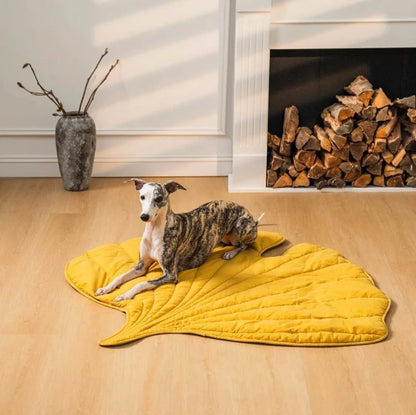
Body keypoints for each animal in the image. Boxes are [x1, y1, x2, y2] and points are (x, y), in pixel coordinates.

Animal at [94, 180, 264, 302]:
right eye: (142, 197)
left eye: (159, 198)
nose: (144, 217)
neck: (154, 230)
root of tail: (252, 218)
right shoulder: (141, 266)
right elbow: (120, 276)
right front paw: (105, 288)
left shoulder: (170, 275)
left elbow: (142, 283)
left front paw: (125, 295)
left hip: (241, 225)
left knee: (245, 245)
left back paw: (230, 253)